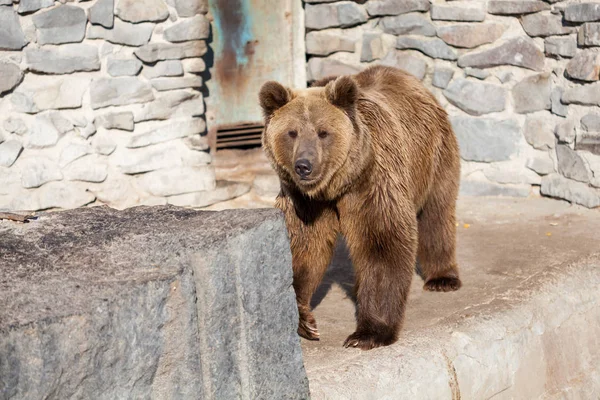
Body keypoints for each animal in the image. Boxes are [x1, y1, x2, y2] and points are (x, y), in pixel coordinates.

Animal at [256, 65, 460, 350]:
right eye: (291, 132)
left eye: (322, 132)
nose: (304, 165)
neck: (334, 186)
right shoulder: (304, 201)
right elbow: (304, 247)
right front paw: (305, 321)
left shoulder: (372, 182)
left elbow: (382, 243)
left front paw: (368, 333)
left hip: (433, 155)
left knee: (436, 212)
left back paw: (443, 278)